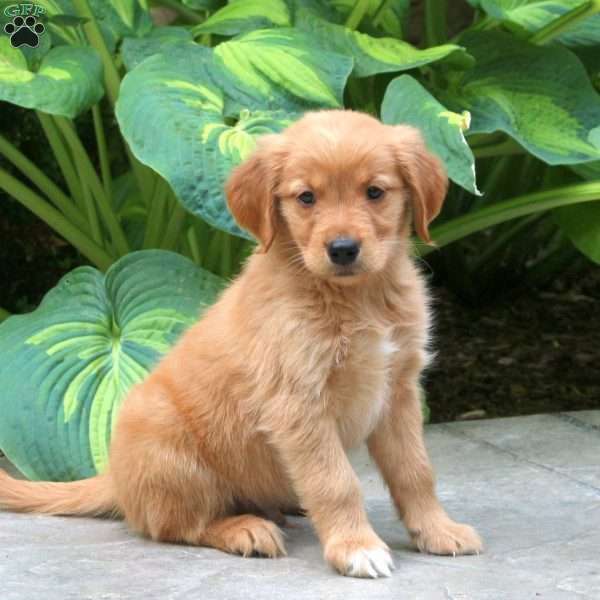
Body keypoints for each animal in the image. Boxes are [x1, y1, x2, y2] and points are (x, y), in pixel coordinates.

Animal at [0, 111, 480, 576]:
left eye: (375, 192)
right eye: (307, 198)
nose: (343, 249)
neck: (356, 298)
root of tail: (114, 476)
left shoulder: (398, 389)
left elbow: (416, 470)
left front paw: (438, 530)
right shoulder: (299, 402)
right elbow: (336, 482)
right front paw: (355, 547)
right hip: (172, 451)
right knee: (175, 524)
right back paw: (245, 529)